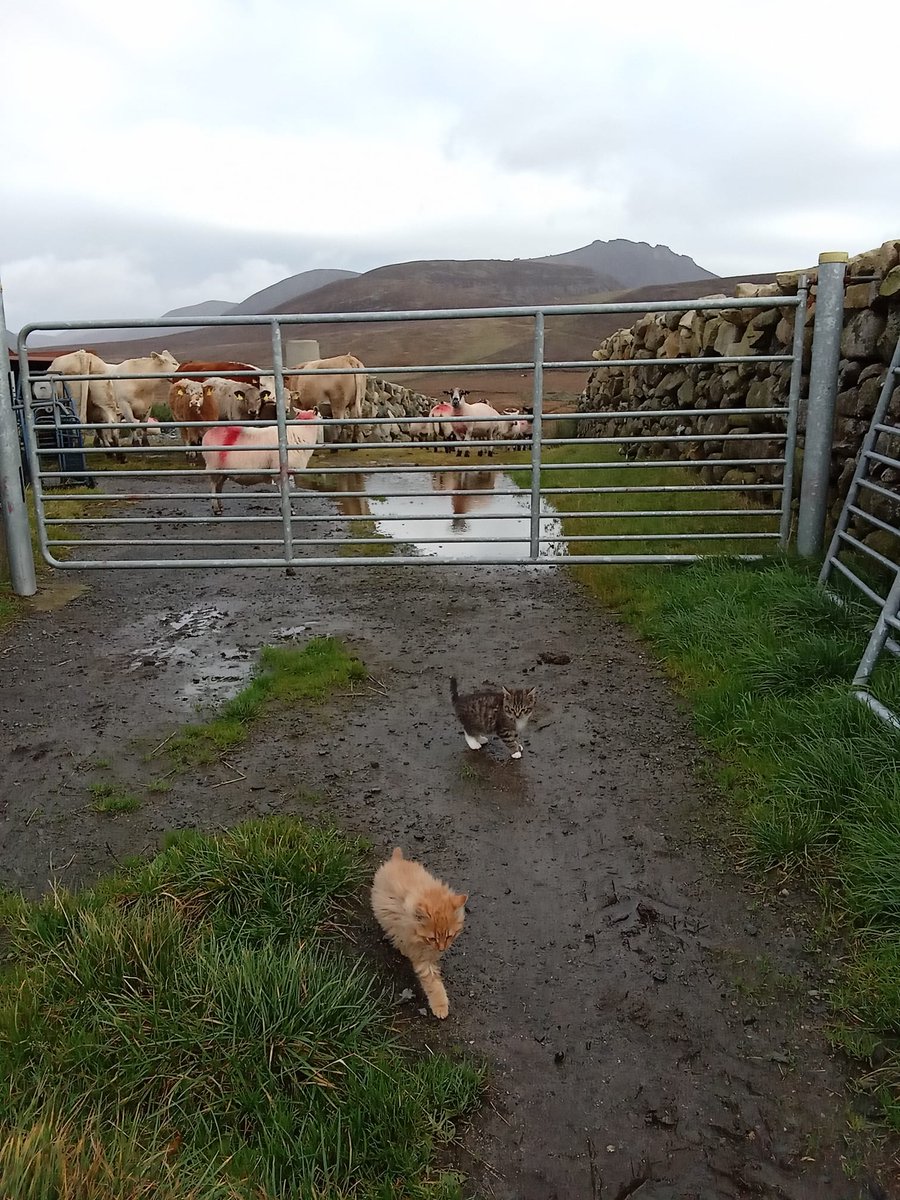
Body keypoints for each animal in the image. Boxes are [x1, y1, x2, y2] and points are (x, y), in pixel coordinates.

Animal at [374, 844, 472, 1022]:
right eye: (432, 938)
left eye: (449, 936)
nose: (442, 948)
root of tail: (397, 859)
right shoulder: (422, 956)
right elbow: (434, 985)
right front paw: (441, 1007)